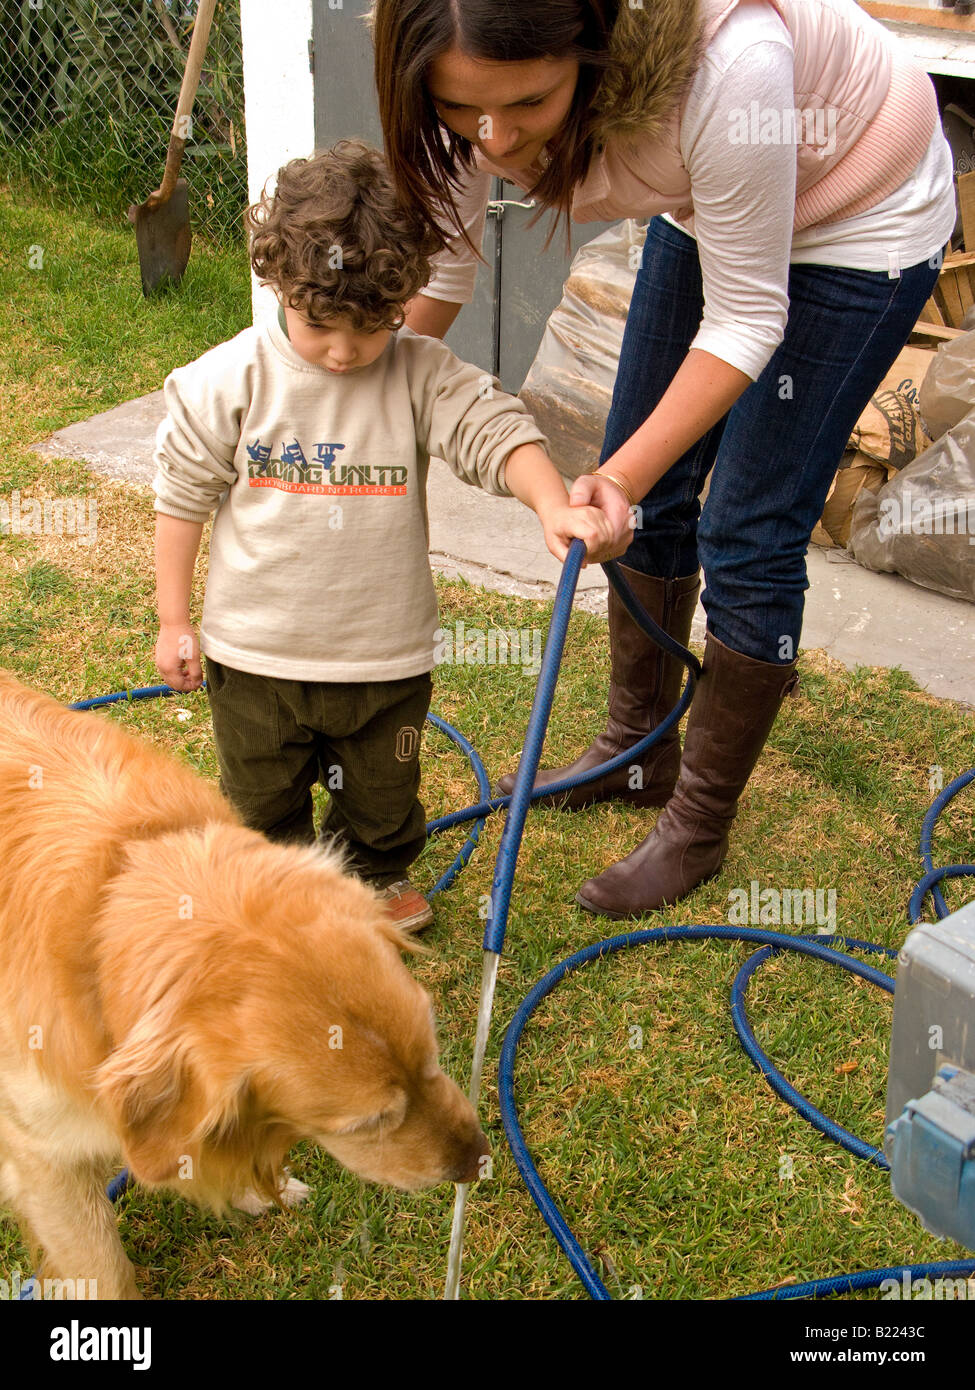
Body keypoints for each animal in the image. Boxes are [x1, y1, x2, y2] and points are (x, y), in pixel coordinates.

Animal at [0, 667, 486, 1295]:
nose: (480, 1161)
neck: (112, 887)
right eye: (371, 1122)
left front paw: (257, 1190)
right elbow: (105, 1265)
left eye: (433, 1055)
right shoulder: (42, 1157)